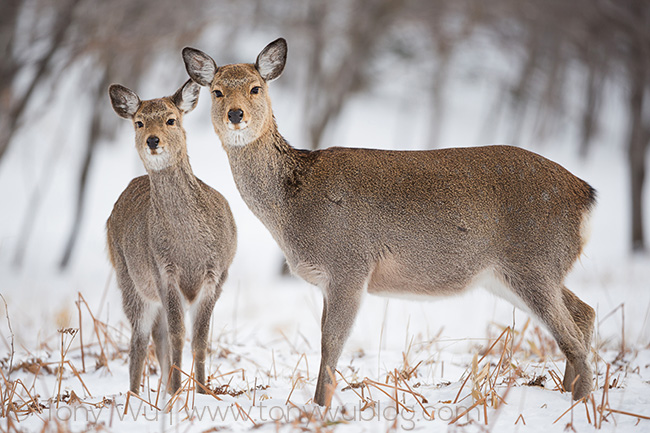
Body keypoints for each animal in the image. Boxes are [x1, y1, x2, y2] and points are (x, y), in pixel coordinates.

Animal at [107, 79, 237, 394]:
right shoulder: (164, 272)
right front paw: (179, 390)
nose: (153, 140)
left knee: (157, 336)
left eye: (171, 119)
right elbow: (178, 335)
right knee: (141, 338)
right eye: (139, 122)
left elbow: (200, 339)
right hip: (129, 279)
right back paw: (136, 394)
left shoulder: (218, 274)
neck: (189, 249)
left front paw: (202, 391)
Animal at [181, 38, 592, 404]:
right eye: (217, 91)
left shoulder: (350, 264)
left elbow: (331, 344)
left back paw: (579, 405)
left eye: (255, 87)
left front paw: (320, 407)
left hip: (533, 262)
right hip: (514, 273)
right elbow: (325, 341)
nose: (236, 114)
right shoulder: (329, 278)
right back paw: (566, 393)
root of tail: (585, 195)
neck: (293, 204)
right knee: (583, 314)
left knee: (572, 336)